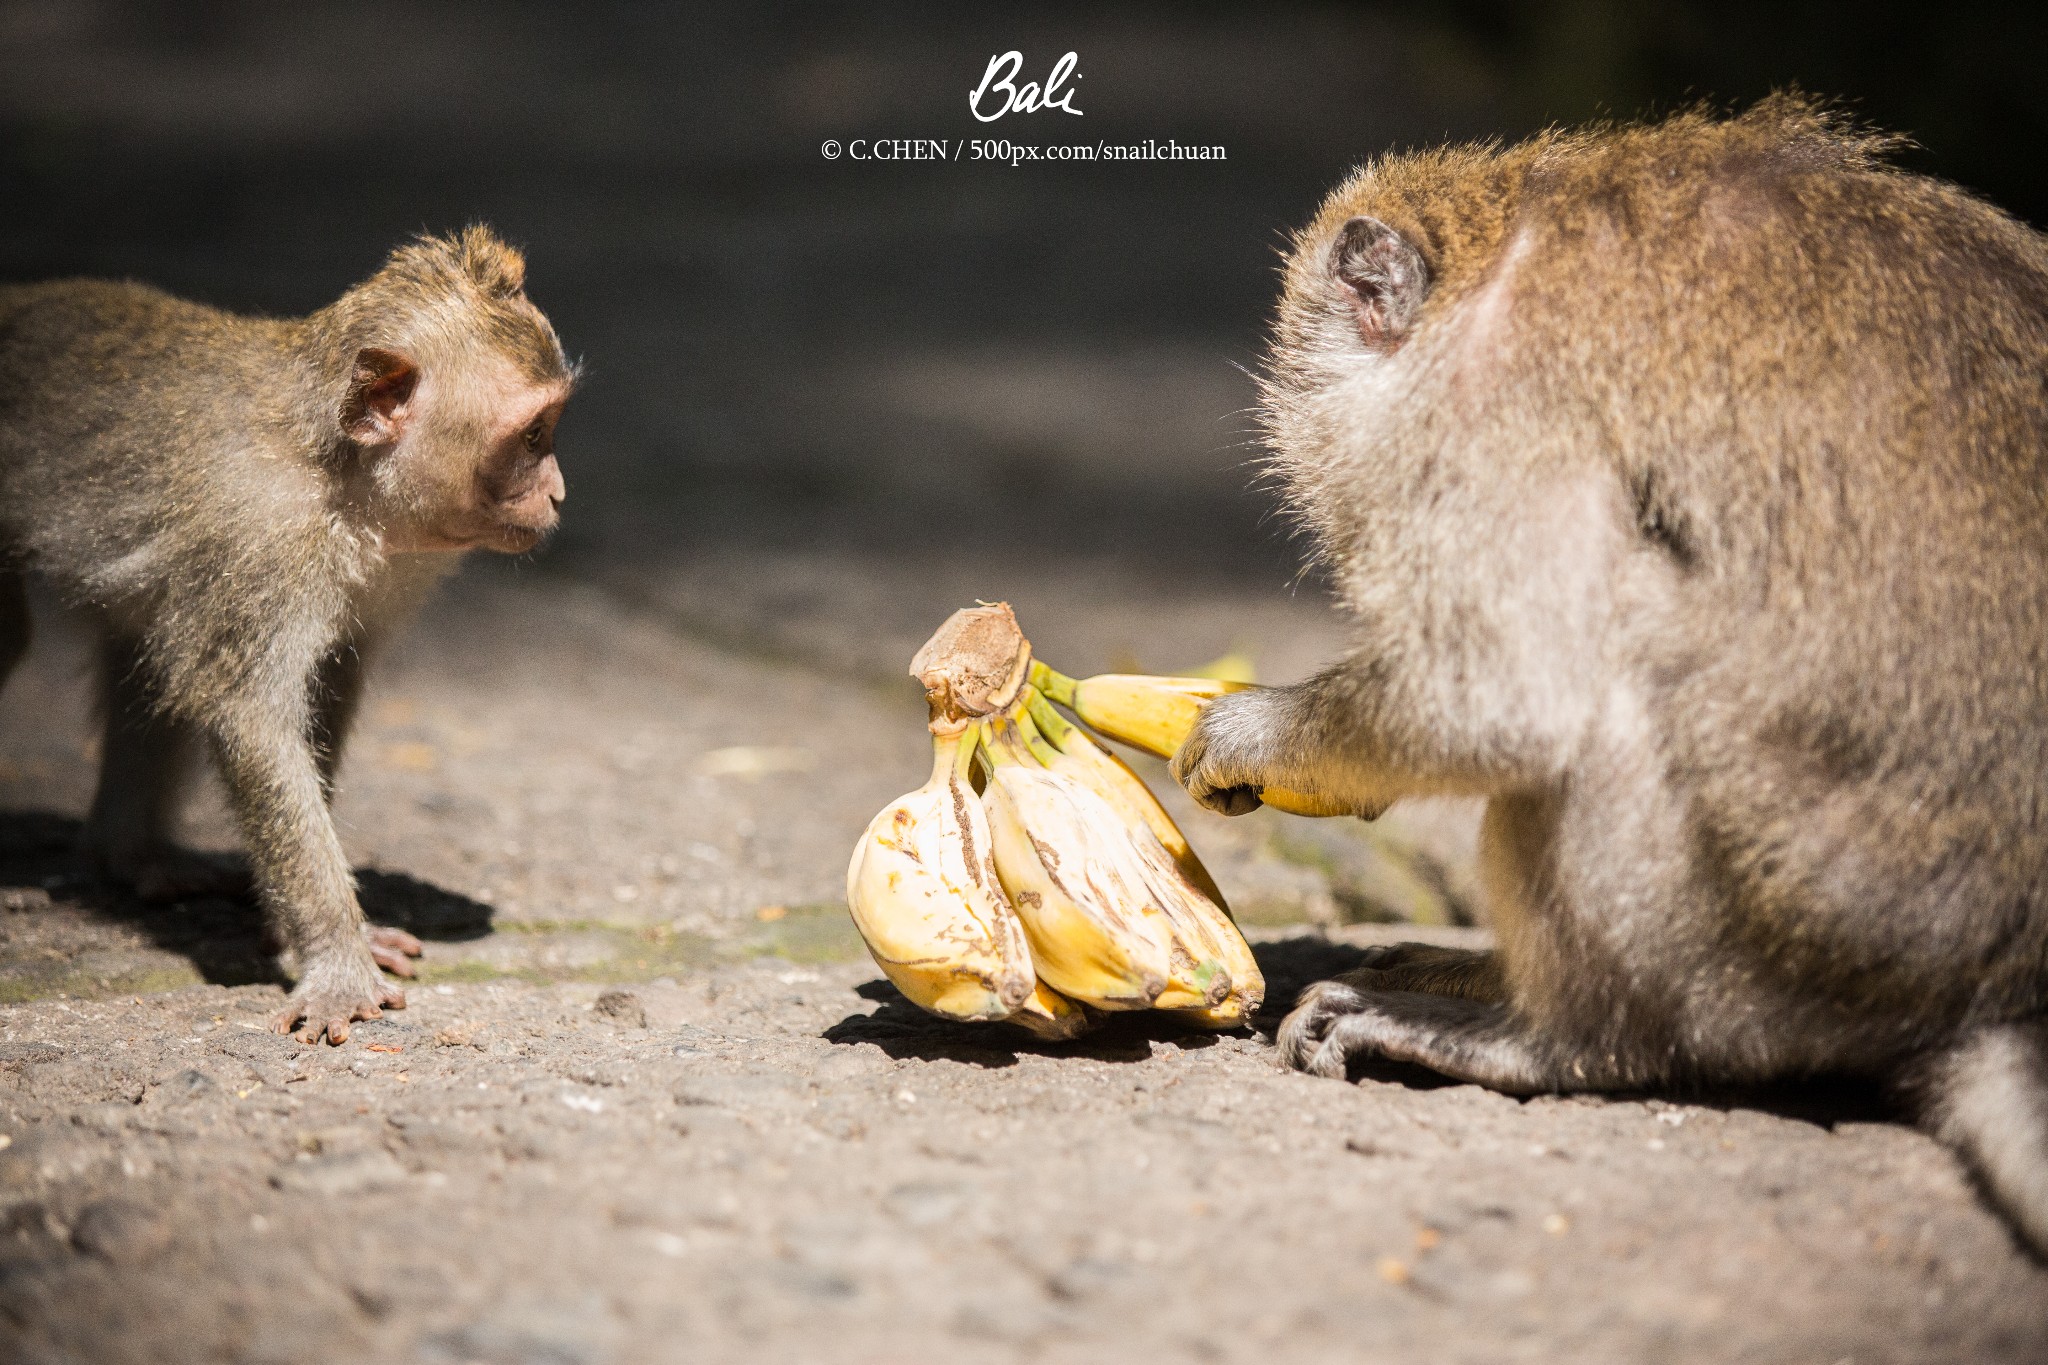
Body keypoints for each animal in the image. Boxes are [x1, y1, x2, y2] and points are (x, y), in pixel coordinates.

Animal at [0, 232, 573, 1047]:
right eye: (530, 435)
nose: (558, 493)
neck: (338, 474)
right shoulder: (263, 540)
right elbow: (255, 724)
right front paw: (336, 959)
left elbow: (325, 694)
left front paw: (294, 929)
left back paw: (131, 856)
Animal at [1179, 98, 2048, 1260]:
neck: (1497, 254)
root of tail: (1988, 988)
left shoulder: (1503, 401)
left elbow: (1504, 698)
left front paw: (1257, 733)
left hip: (1799, 938)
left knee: (1617, 661)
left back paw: (1562, 1038)